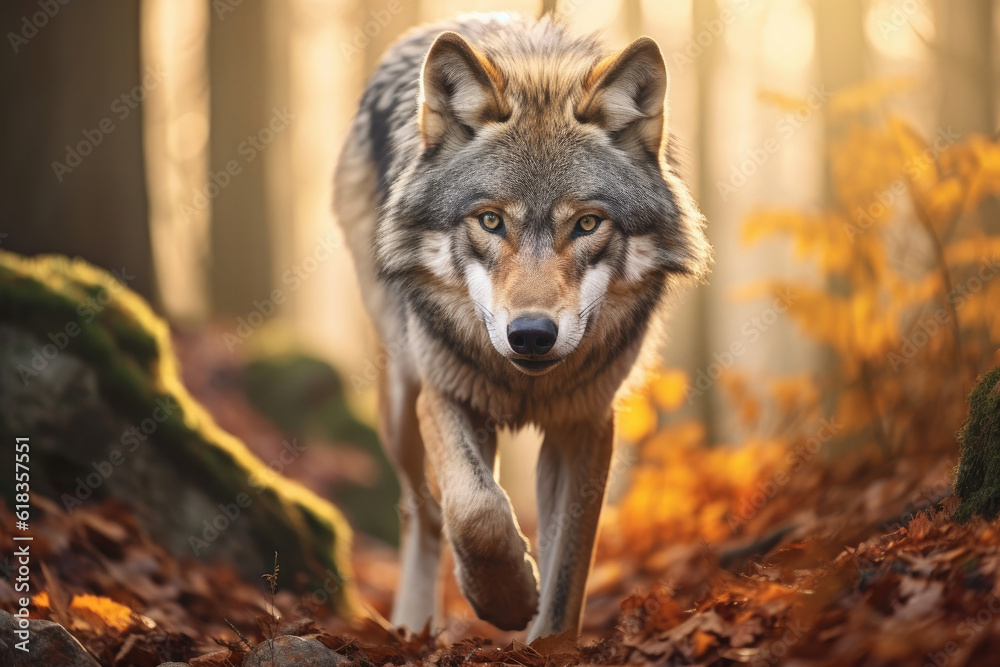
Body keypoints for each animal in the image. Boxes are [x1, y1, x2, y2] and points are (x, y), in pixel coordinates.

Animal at [335, 12, 711, 640]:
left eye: (587, 224)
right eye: (490, 220)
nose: (531, 334)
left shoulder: (586, 423)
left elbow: (567, 574)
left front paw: (545, 639)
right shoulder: (445, 393)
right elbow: (476, 511)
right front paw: (506, 601)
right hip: (399, 404)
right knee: (424, 512)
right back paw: (414, 623)